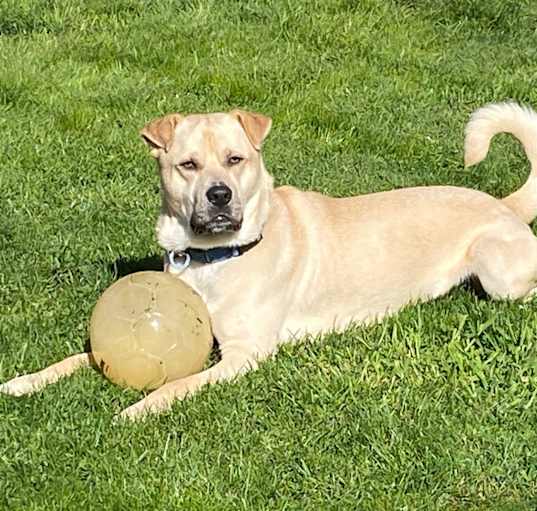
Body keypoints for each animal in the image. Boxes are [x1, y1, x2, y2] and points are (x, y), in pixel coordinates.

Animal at [1, 102, 536, 422]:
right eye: (188, 165)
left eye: (235, 159)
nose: (219, 195)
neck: (213, 258)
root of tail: (503, 203)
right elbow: (80, 356)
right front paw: (25, 382)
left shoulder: (245, 353)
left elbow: (178, 385)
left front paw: (137, 410)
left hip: (497, 271)